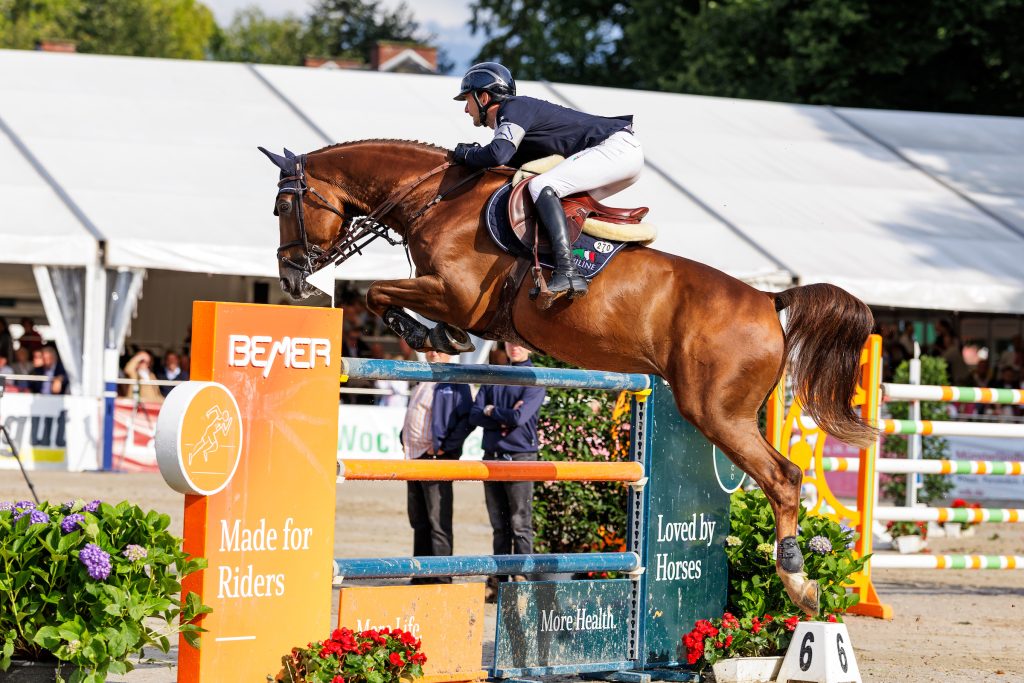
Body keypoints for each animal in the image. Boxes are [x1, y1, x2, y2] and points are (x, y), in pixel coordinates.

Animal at [260, 139, 876, 614]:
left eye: (284, 204)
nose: (290, 280)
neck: (436, 198)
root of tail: (770, 301)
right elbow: (386, 294)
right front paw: (438, 338)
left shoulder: (455, 293)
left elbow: (377, 292)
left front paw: (431, 336)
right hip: (721, 411)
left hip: (716, 413)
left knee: (784, 478)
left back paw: (799, 584)